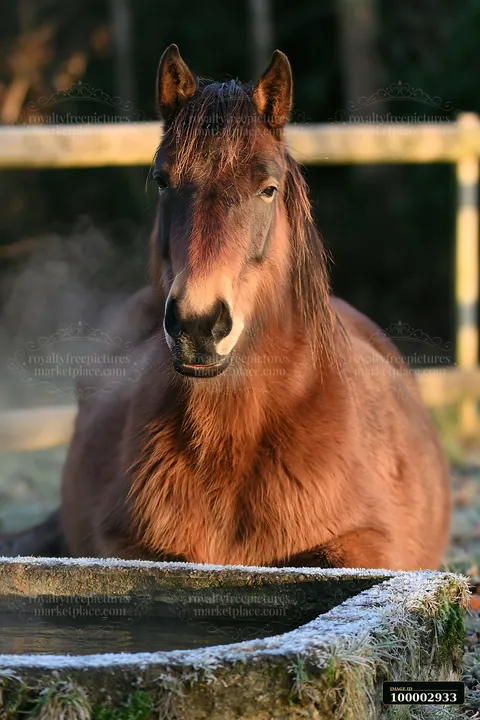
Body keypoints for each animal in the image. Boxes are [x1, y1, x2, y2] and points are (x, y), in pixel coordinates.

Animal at [6, 46, 451, 569]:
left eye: (268, 188)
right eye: (162, 180)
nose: (198, 325)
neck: (232, 447)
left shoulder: (370, 544)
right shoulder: (127, 546)